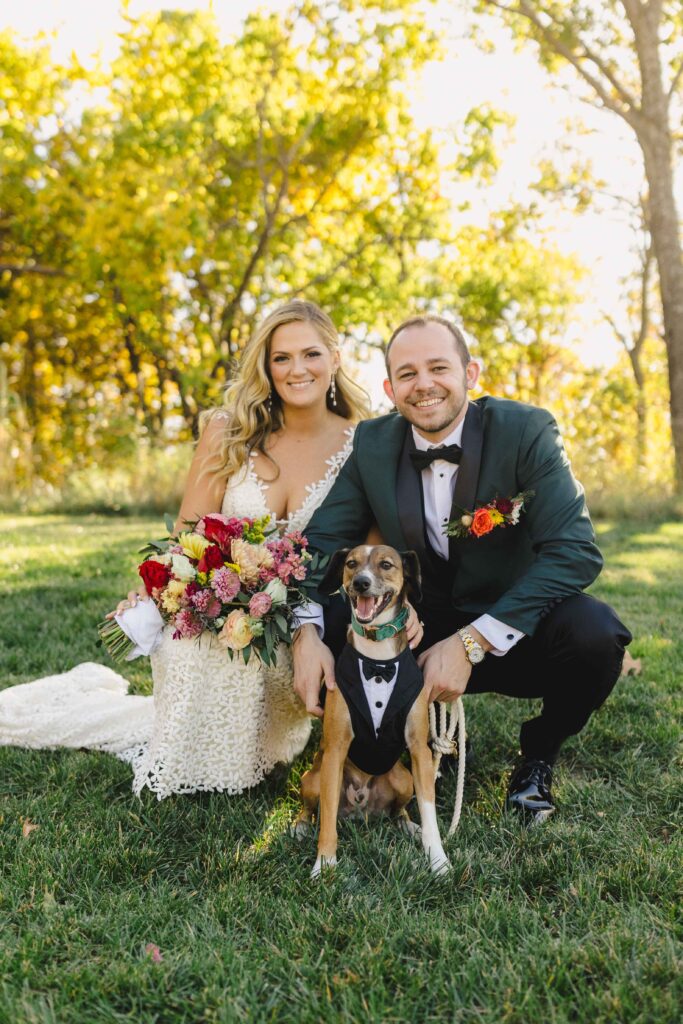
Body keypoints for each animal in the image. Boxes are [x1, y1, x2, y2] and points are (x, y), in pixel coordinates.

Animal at [290, 544, 450, 880]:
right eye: (351, 564)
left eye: (386, 565)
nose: (361, 583)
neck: (377, 659)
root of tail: (361, 807)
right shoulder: (335, 751)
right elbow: (327, 821)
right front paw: (324, 865)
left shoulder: (419, 751)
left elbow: (429, 812)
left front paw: (439, 861)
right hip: (314, 778)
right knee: (311, 808)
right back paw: (300, 827)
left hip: (403, 779)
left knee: (398, 810)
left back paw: (408, 826)